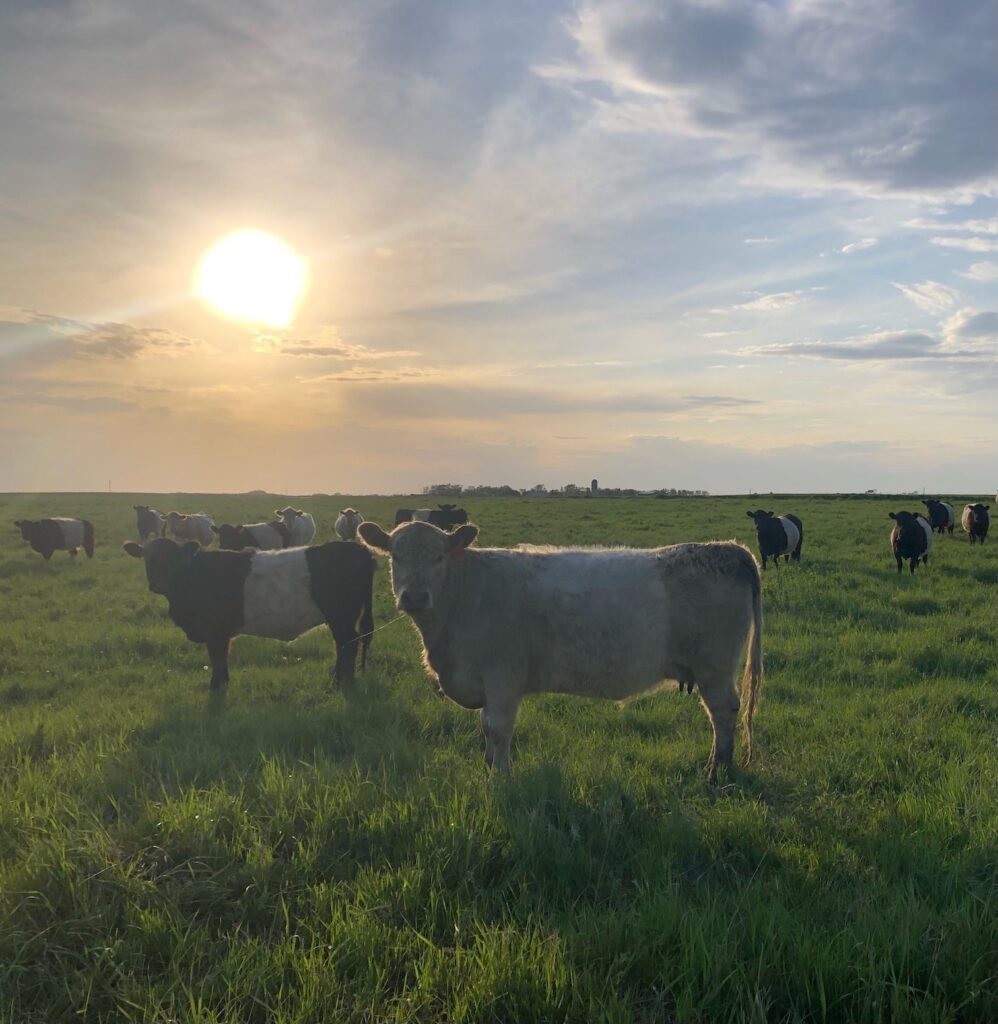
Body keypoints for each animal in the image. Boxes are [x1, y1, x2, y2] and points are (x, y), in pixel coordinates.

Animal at [123, 536, 374, 688]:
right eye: (148, 558)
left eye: (173, 559)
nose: (157, 583)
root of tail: (359, 549)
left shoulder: (216, 632)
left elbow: (218, 659)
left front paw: (217, 686)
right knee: (346, 644)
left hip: (342, 617)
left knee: (347, 644)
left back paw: (341, 680)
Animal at [358, 520, 765, 782]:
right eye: (395, 556)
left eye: (439, 557)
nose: (414, 596)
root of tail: (728, 548)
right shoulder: (488, 684)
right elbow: (485, 727)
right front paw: (489, 766)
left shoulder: (503, 678)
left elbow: (498, 728)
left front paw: (500, 776)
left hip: (714, 670)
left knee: (723, 713)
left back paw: (716, 770)